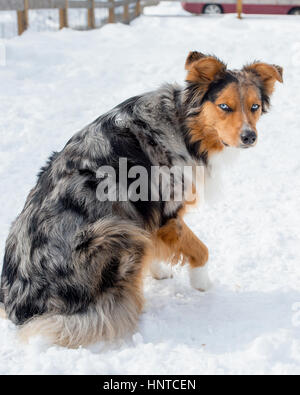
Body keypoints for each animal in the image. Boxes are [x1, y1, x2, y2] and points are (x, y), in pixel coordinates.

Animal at [0, 51, 282, 346]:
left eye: (254, 107)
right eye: (225, 106)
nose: (249, 137)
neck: (183, 126)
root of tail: (21, 310)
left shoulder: (151, 216)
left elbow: (157, 243)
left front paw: (160, 270)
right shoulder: (168, 211)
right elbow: (200, 249)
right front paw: (202, 283)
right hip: (115, 230)